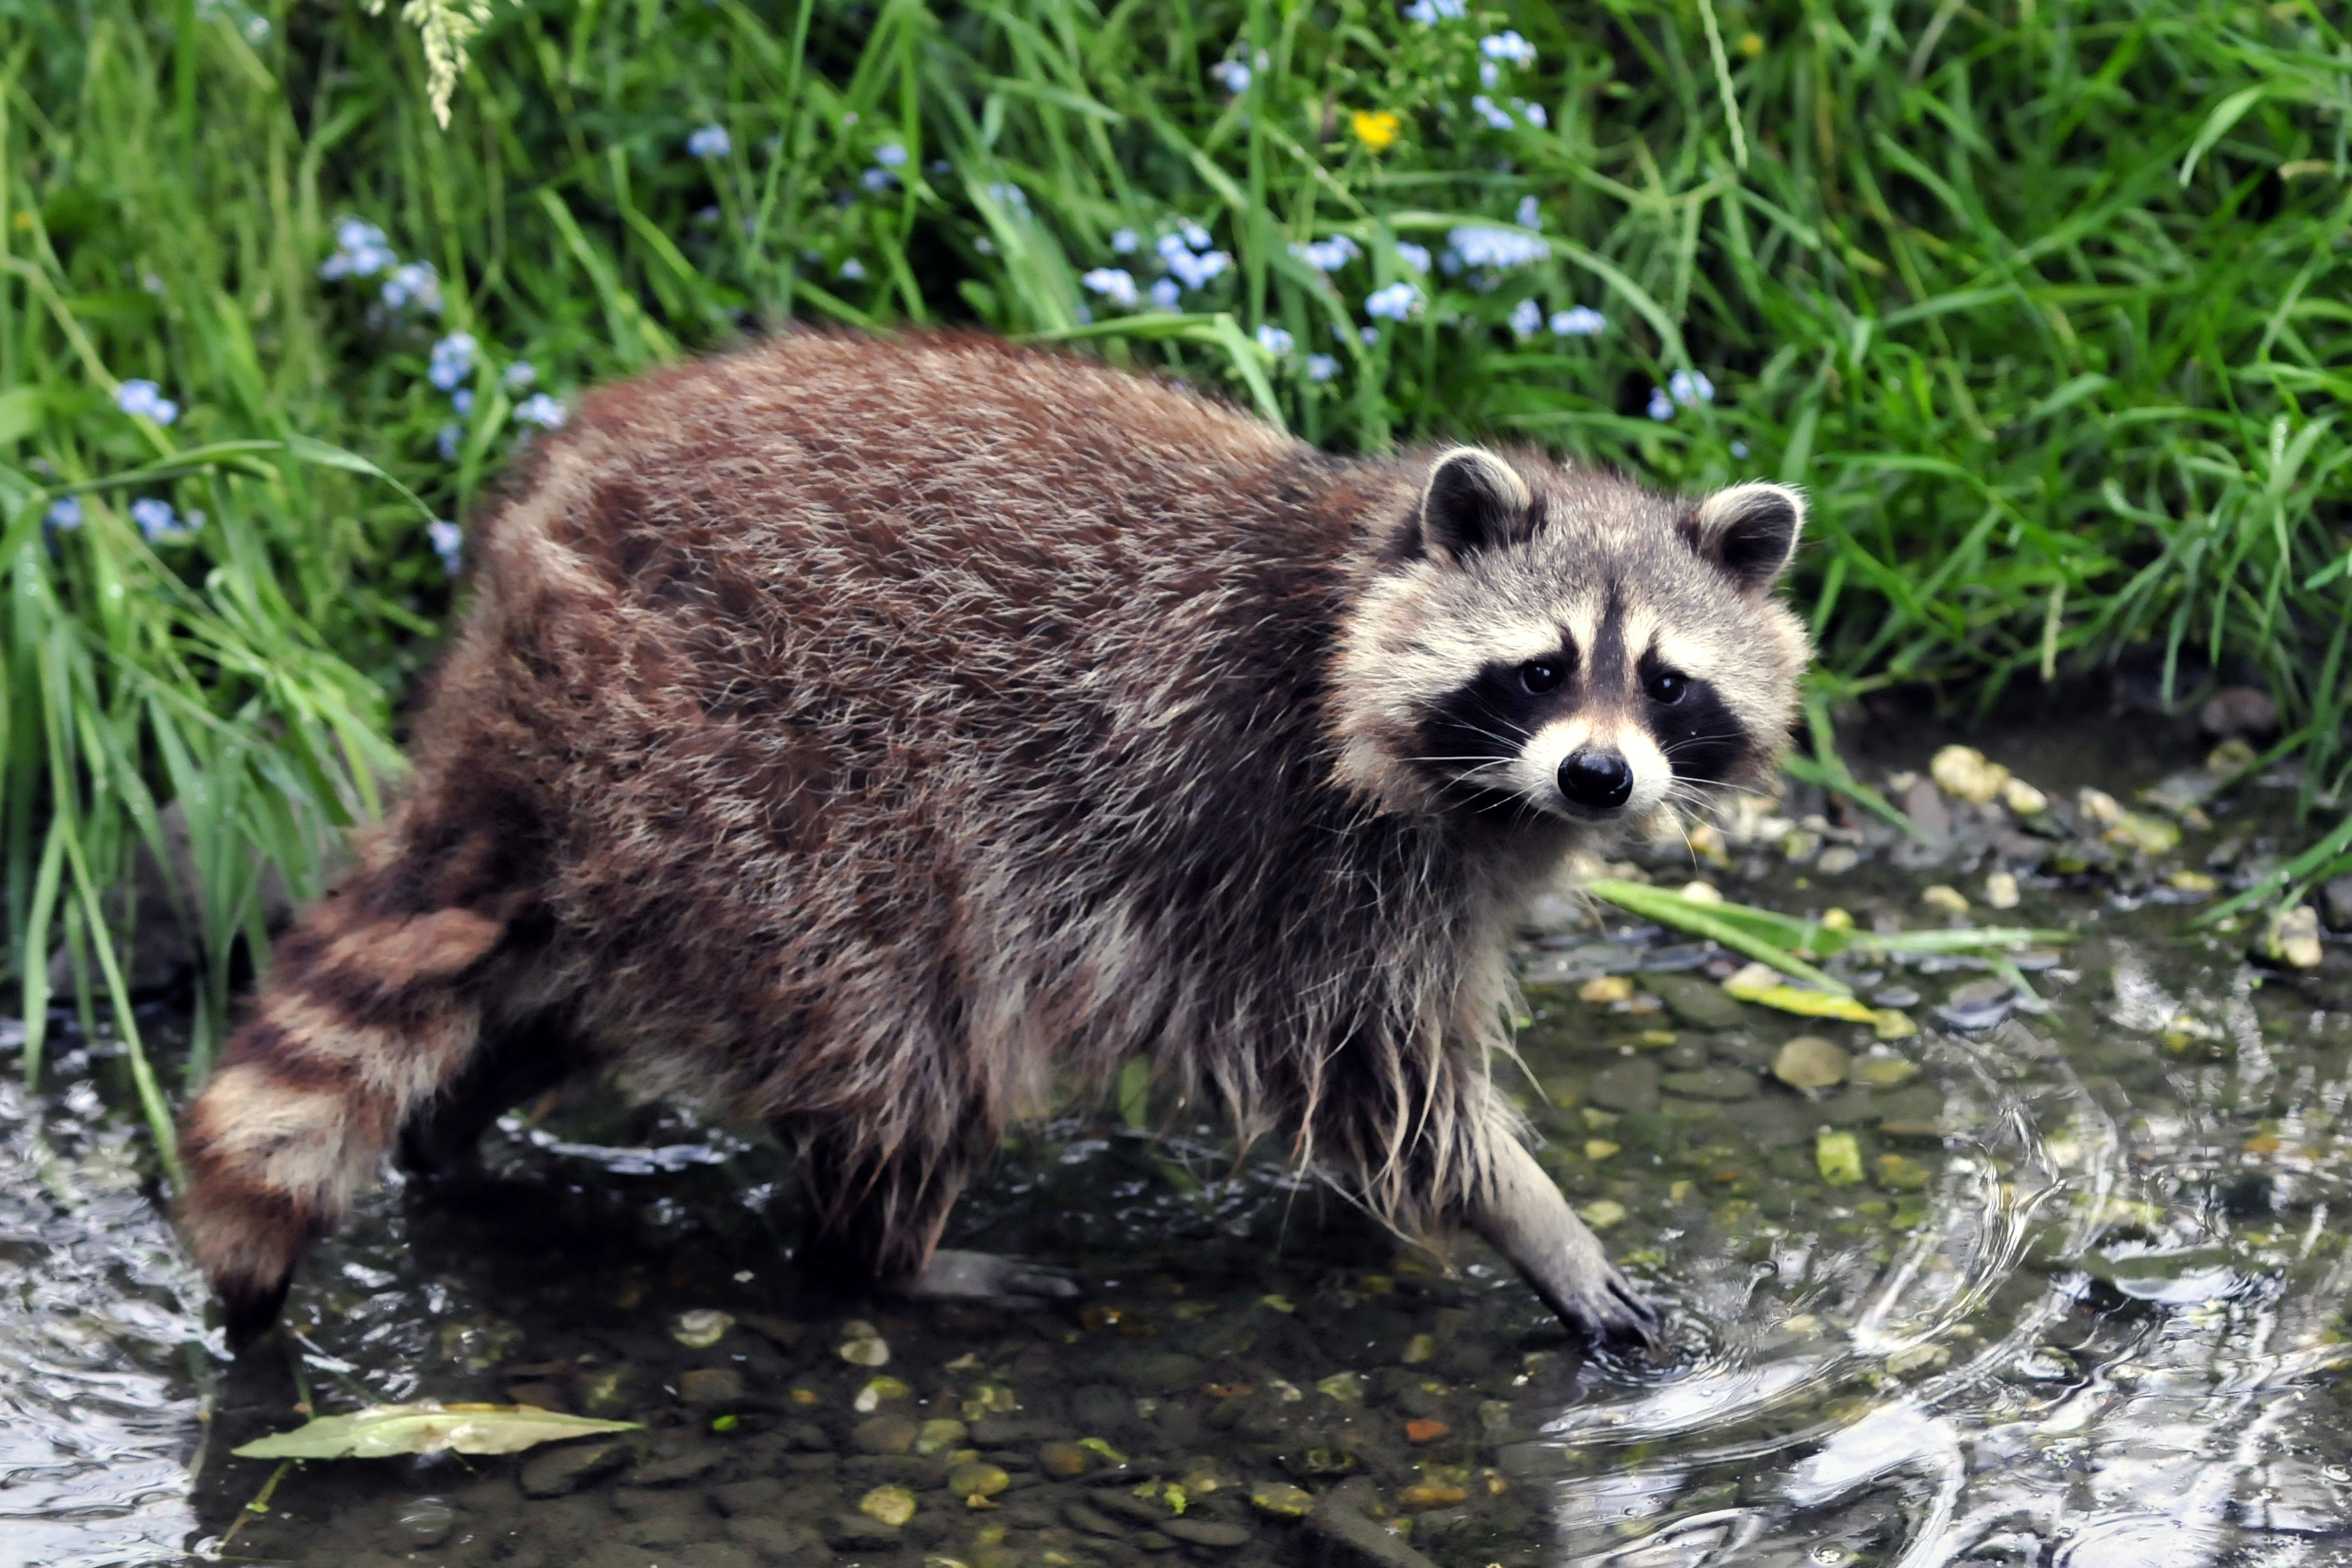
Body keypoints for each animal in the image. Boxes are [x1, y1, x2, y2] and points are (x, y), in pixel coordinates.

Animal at [174, 331, 1806, 1354]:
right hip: (766, 773)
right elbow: (1377, 1077)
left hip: (645, 819)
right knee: (902, 1026)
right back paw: (886, 1251)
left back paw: (465, 1120)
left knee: (566, 976)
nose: (1596, 776)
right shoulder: (1289, 836)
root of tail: (518, 589)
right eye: (1538, 669)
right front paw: (1533, 1221)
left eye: (1662, 681)